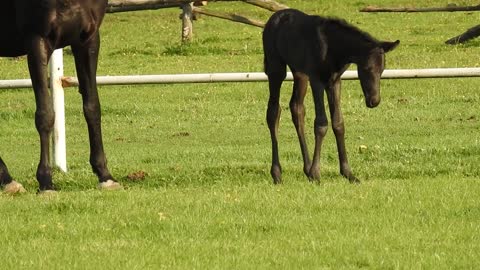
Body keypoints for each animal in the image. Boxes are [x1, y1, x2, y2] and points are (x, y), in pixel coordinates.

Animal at [0, 0, 120, 194]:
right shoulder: (37, 40)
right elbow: (45, 114)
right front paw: (46, 182)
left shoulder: (88, 39)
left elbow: (92, 107)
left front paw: (105, 175)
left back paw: (8, 180)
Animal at [264, 9, 400, 185]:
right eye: (367, 68)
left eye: (382, 69)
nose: (374, 101)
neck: (335, 49)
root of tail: (272, 19)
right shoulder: (317, 79)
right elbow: (321, 124)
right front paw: (316, 173)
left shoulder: (334, 81)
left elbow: (338, 123)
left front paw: (348, 173)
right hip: (276, 67)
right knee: (273, 111)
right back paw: (277, 173)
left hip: (300, 73)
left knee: (297, 108)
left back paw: (306, 168)